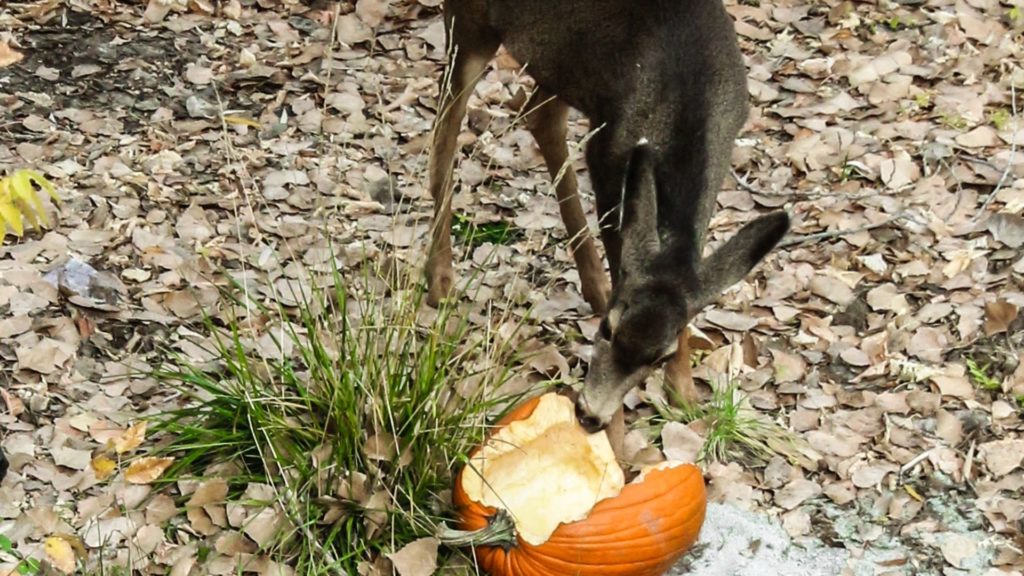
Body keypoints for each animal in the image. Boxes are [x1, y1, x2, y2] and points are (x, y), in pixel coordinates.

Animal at [423, 0, 790, 434]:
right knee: (446, 128)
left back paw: (592, 285)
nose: (590, 415)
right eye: (607, 330)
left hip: (564, 64)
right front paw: (617, 434)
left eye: (660, 356)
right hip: (472, 25)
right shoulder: (610, 156)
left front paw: (683, 394)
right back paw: (440, 279)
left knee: (538, 114)